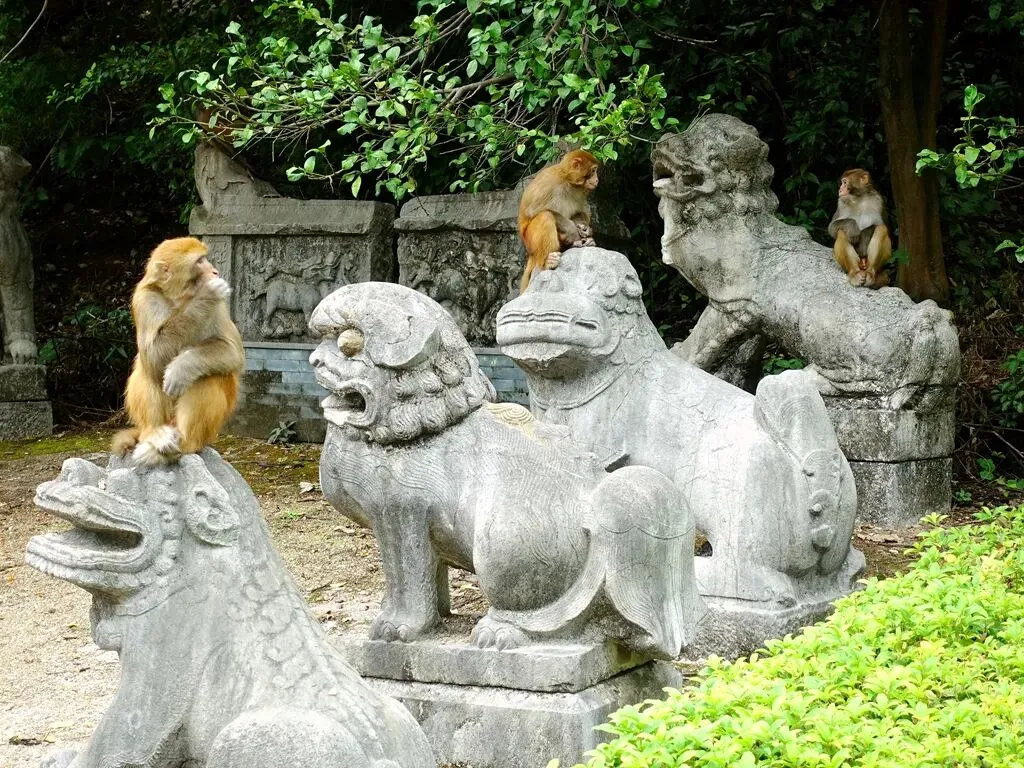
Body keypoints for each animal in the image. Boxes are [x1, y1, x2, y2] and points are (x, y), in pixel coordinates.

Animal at [111, 237, 245, 467]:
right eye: (200, 261)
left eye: (205, 258)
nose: (215, 272)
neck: (179, 297)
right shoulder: (144, 299)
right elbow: (152, 357)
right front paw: (206, 294)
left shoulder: (220, 305)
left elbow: (232, 352)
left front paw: (181, 368)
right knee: (146, 368)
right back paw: (156, 434)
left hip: (207, 431)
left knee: (209, 375)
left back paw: (182, 444)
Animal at [518, 149, 600, 293]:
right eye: (594, 170)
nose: (597, 179)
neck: (568, 181)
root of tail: (532, 254)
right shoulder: (549, 184)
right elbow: (534, 212)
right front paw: (572, 230)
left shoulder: (580, 192)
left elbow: (580, 212)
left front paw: (585, 229)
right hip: (530, 242)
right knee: (545, 216)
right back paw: (547, 262)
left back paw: (585, 242)